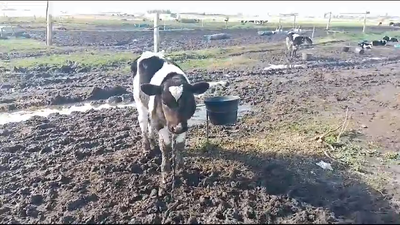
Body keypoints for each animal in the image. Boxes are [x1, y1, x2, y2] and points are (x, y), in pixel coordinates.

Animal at [132, 51, 212, 185]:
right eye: (164, 102)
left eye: (189, 100)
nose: (177, 128)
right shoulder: (161, 124)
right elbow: (166, 146)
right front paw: (165, 171)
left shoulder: (185, 123)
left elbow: (179, 145)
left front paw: (180, 169)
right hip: (139, 102)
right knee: (143, 122)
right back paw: (147, 148)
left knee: (150, 124)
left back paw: (152, 143)